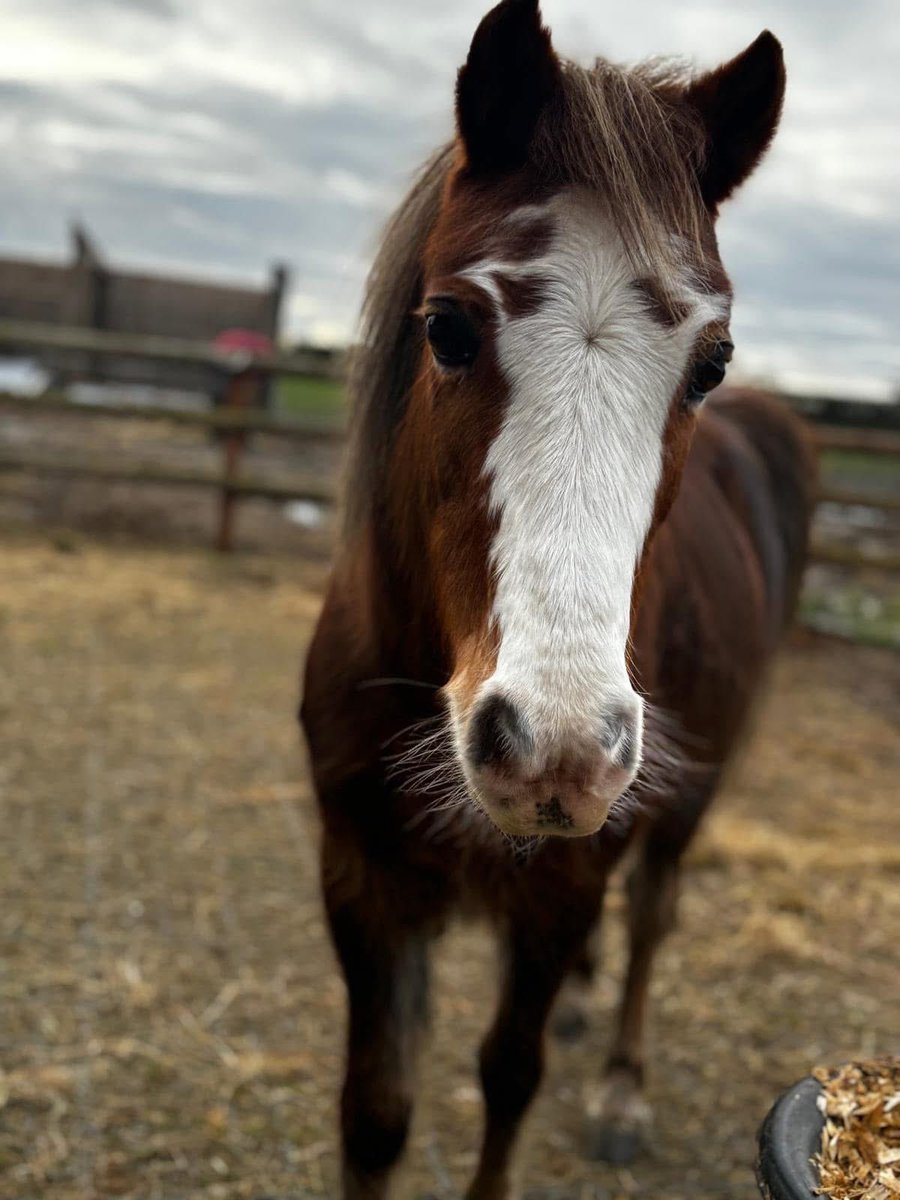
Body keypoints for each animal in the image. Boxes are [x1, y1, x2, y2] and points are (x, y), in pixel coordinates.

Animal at [300, 3, 815, 1196]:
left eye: (711, 362)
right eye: (446, 325)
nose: (556, 751)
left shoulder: (560, 889)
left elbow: (508, 1077)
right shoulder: (361, 885)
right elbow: (374, 1113)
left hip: (690, 794)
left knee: (653, 918)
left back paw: (620, 1082)